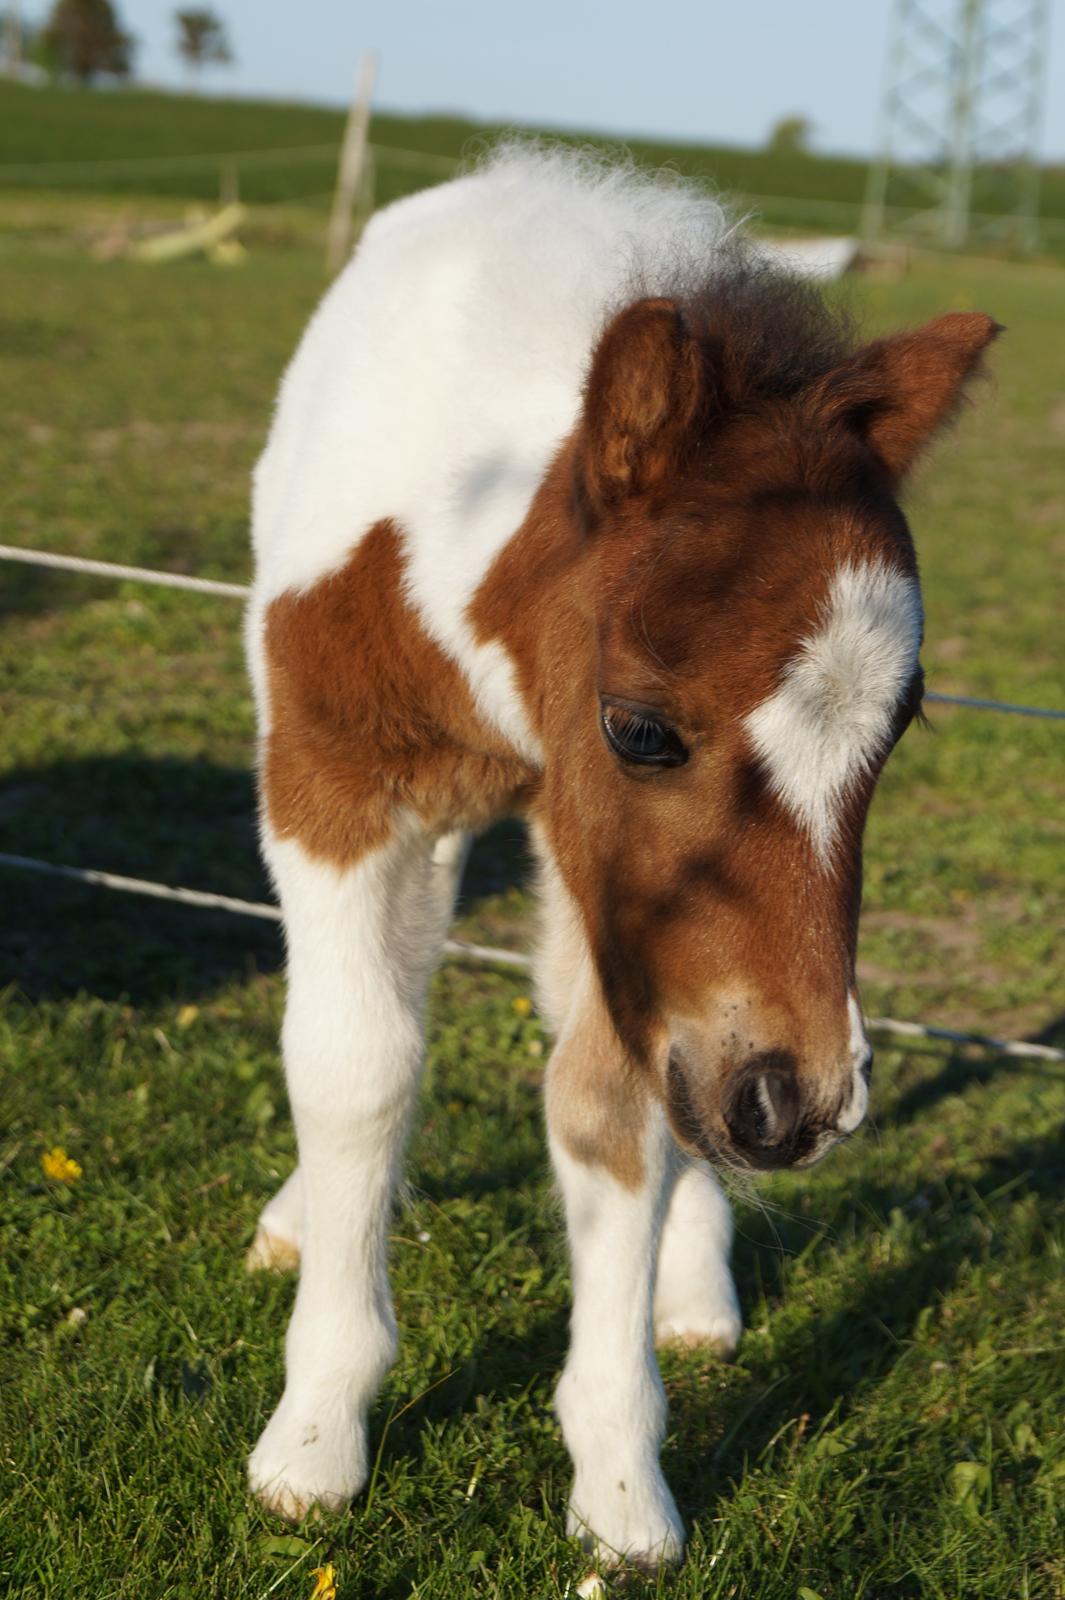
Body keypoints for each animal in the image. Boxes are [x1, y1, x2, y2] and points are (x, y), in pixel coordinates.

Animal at [239, 144, 997, 1568]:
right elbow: (357, 1063)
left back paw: (692, 1277)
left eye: (900, 724)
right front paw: (314, 1434)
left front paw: (621, 1479)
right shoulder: (332, 780)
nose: (800, 1104)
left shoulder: (625, 900)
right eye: (641, 727)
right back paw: (306, 1218)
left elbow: (614, 1106)